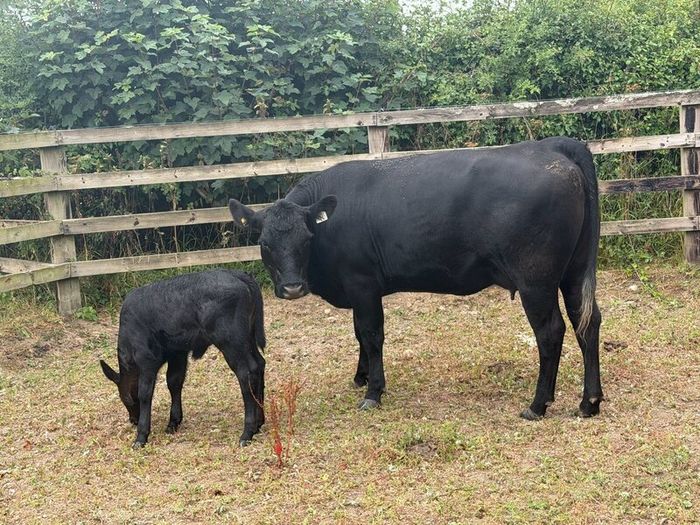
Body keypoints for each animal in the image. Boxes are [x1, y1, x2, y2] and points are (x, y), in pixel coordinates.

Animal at [99, 270, 266, 448]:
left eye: (126, 401)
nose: (133, 420)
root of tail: (238, 274)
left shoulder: (147, 360)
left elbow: (145, 393)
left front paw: (141, 435)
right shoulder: (177, 353)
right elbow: (174, 382)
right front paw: (173, 422)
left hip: (231, 343)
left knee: (246, 373)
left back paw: (247, 432)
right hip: (247, 340)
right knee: (259, 365)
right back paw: (259, 422)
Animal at [228, 137, 603, 420]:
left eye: (306, 239)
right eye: (264, 243)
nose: (292, 288)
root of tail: (551, 147)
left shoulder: (363, 284)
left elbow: (371, 334)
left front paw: (373, 391)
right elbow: (359, 334)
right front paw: (361, 375)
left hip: (535, 280)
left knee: (551, 332)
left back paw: (537, 405)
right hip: (573, 272)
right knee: (587, 322)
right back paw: (589, 402)